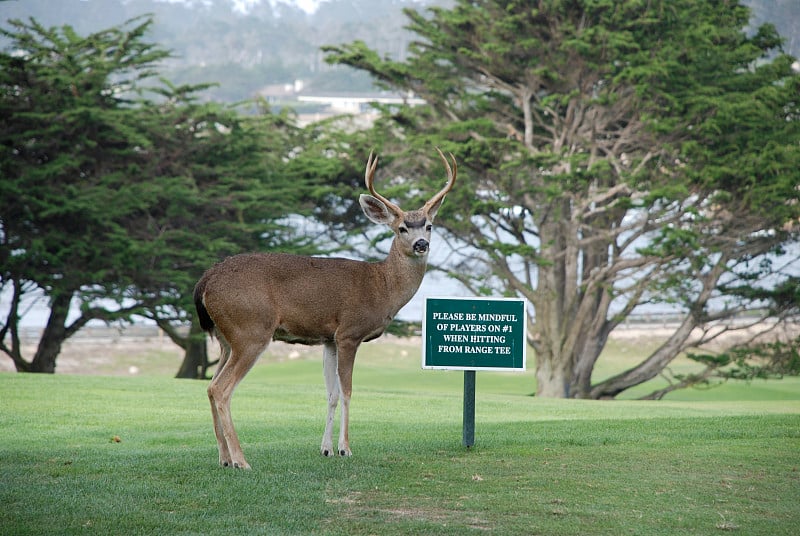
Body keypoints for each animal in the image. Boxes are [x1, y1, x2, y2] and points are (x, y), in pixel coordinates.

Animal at [194, 148, 456, 468]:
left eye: (429, 226)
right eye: (401, 228)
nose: (421, 244)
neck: (381, 286)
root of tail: (206, 281)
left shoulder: (328, 338)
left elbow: (330, 393)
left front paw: (326, 448)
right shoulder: (349, 333)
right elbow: (347, 391)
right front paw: (345, 448)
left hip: (225, 338)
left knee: (209, 386)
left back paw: (224, 457)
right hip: (250, 331)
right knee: (221, 389)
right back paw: (241, 460)